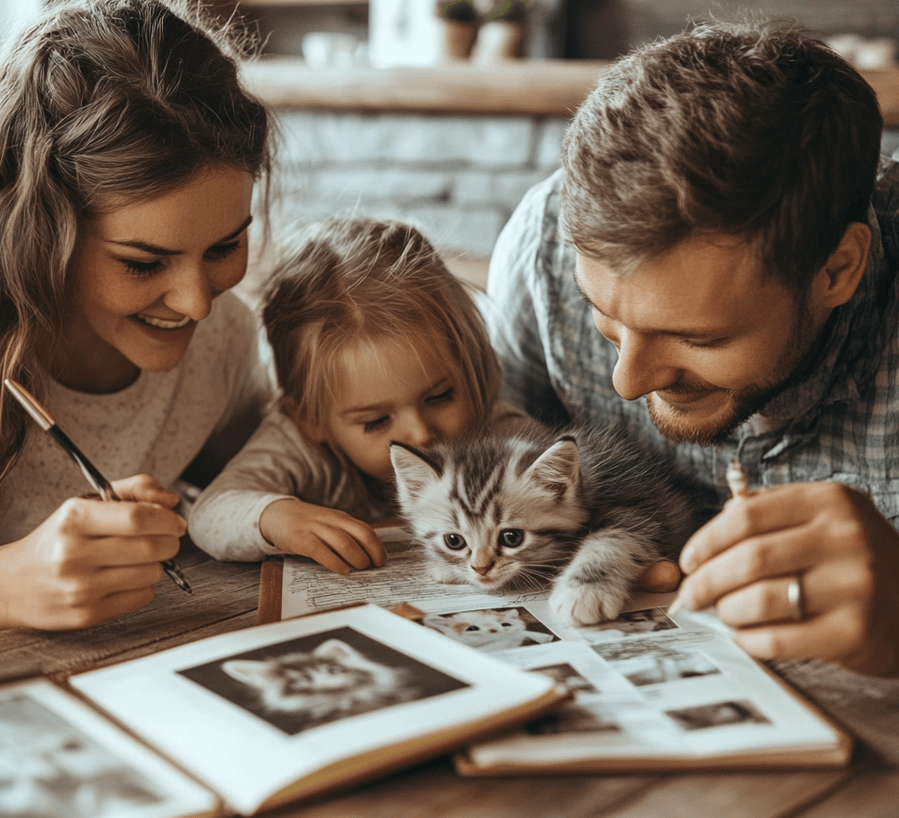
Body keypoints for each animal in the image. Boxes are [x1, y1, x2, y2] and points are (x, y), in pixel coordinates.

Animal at [390, 420, 712, 624]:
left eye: (511, 538)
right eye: (454, 541)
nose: (481, 569)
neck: (589, 479)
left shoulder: (643, 504)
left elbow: (612, 538)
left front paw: (583, 592)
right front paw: (444, 567)